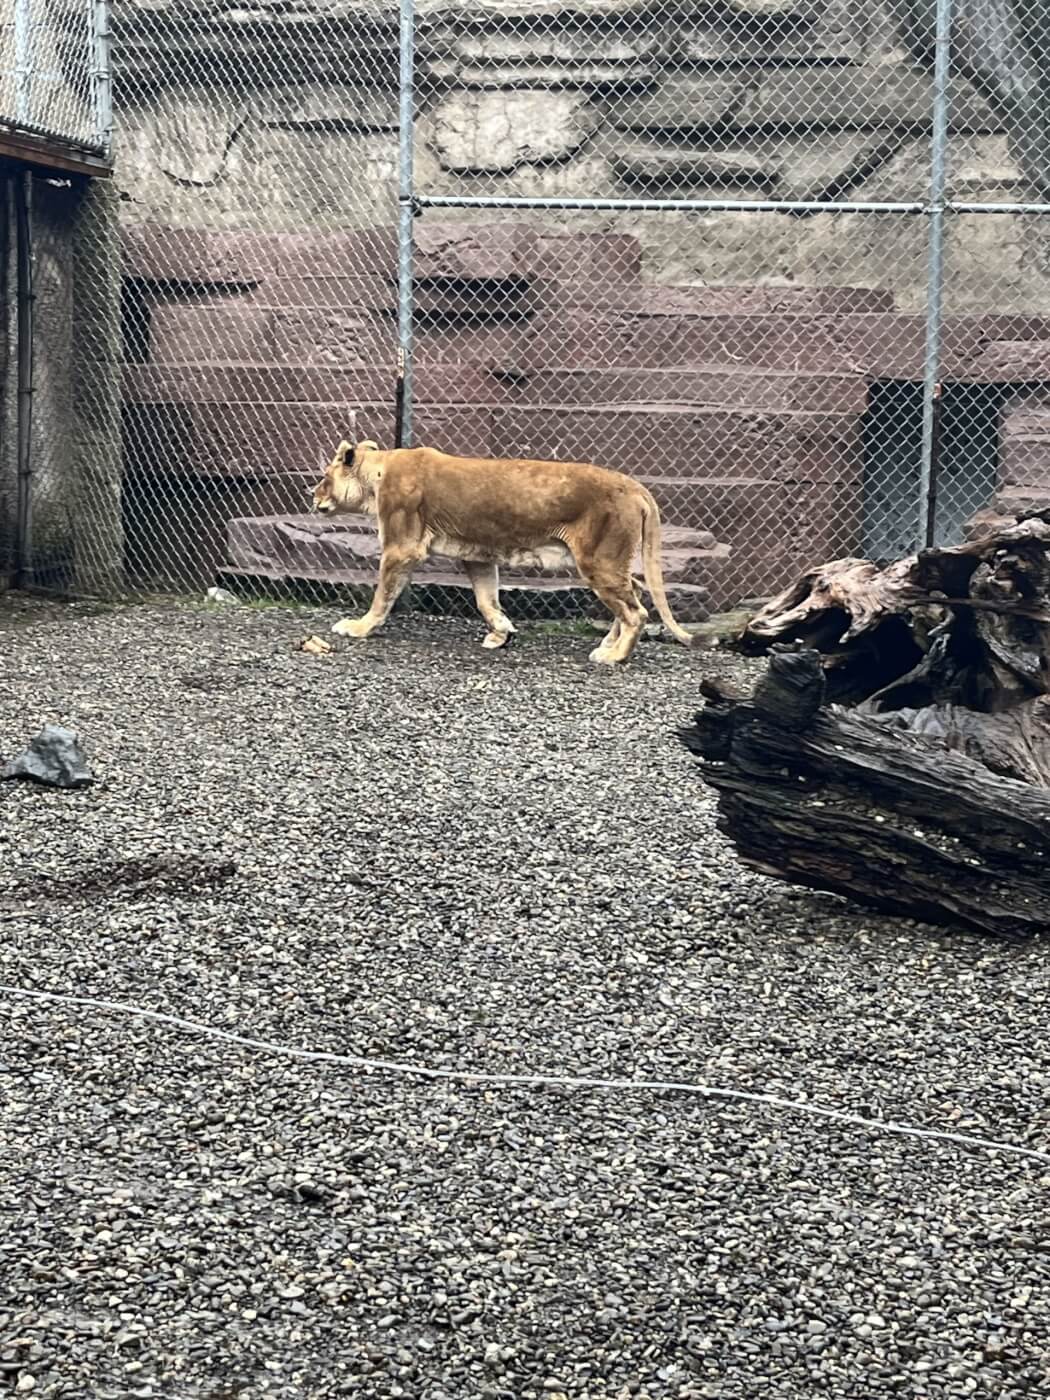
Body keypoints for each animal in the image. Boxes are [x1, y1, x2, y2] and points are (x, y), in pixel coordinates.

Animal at [311, 439, 696, 665]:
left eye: (325, 477)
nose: (312, 496)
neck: (377, 473)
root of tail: (634, 486)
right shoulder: (476, 556)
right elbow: (486, 600)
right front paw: (502, 633)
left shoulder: (402, 548)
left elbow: (382, 596)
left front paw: (358, 627)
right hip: (610, 561)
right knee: (637, 591)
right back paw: (607, 645)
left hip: (599, 561)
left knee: (636, 612)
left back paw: (614, 657)